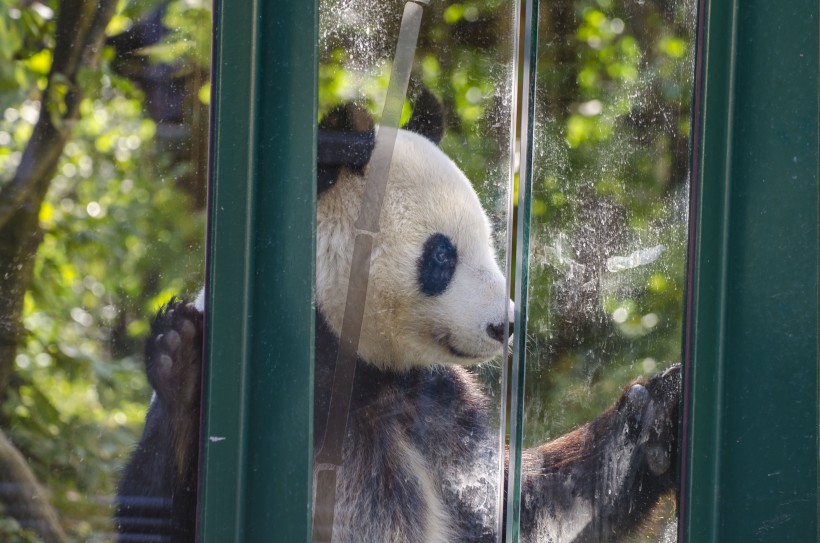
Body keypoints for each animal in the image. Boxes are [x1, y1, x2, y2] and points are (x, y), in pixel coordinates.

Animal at [115, 91, 680, 540]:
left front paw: (654, 414)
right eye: (442, 257)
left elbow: (531, 504)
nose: (505, 325)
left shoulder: (438, 404)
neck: (361, 367)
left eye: (489, 241)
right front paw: (182, 364)